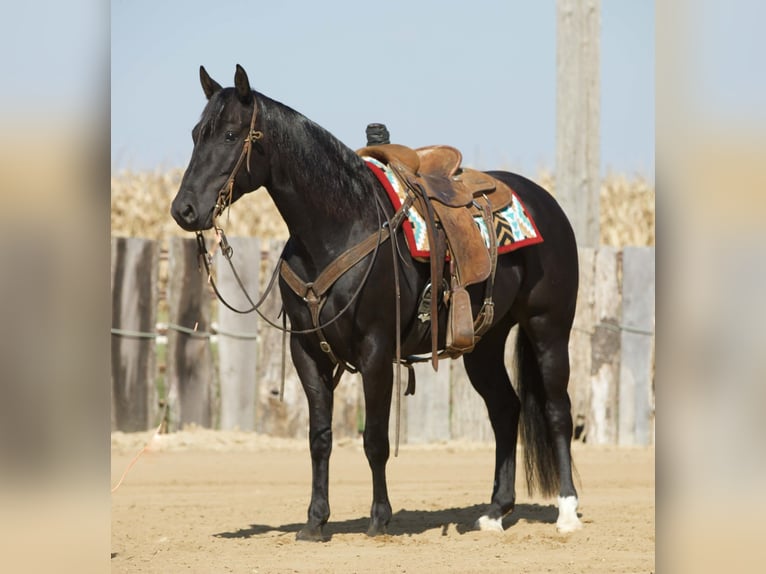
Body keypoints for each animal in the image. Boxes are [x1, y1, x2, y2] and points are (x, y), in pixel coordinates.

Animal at [171, 64, 583, 541]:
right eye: (195, 133)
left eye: (230, 135)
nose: (183, 210)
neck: (339, 226)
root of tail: (546, 203)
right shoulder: (306, 351)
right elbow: (320, 437)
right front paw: (315, 520)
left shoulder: (376, 349)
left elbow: (375, 440)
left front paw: (380, 517)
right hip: (483, 341)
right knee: (505, 409)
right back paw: (496, 512)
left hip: (548, 328)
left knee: (557, 410)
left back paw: (567, 511)